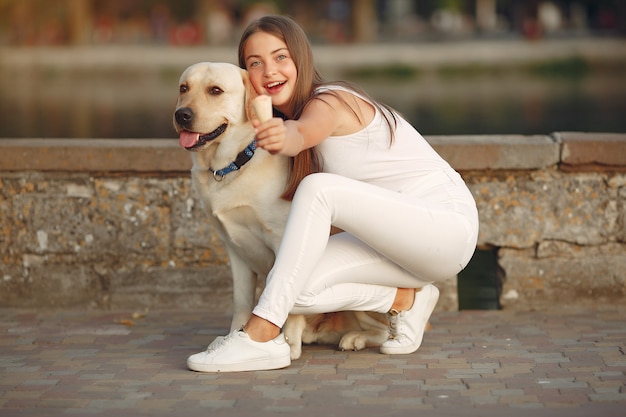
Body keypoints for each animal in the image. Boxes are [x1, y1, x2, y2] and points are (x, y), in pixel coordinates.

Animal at [171, 61, 386, 358]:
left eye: (215, 90)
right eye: (184, 88)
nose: (182, 115)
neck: (233, 164)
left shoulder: (282, 236)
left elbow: (288, 297)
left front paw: (287, 343)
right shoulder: (235, 250)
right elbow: (241, 302)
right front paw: (234, 336)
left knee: (383, 329)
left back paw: (356, 338)